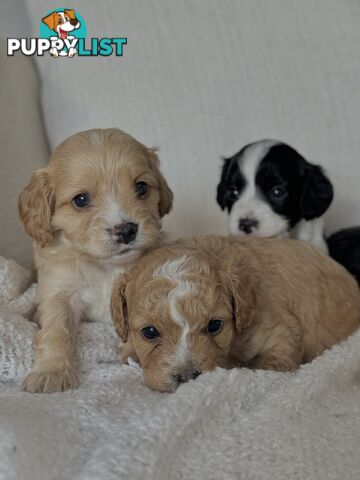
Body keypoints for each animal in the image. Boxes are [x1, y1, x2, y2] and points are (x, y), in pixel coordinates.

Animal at [19, 128, 174, 394]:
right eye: (81, 200)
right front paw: (51, 372)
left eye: (141, 187)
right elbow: (56, 330)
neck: (105, 266)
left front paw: (134, 352)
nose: (126, 230)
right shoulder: (57, 292)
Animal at [112, 234, 360, 392]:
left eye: (214, 325)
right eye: (149, 332)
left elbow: (277, 355)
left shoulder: (280, 327)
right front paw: (128, 350)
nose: (188, 377)